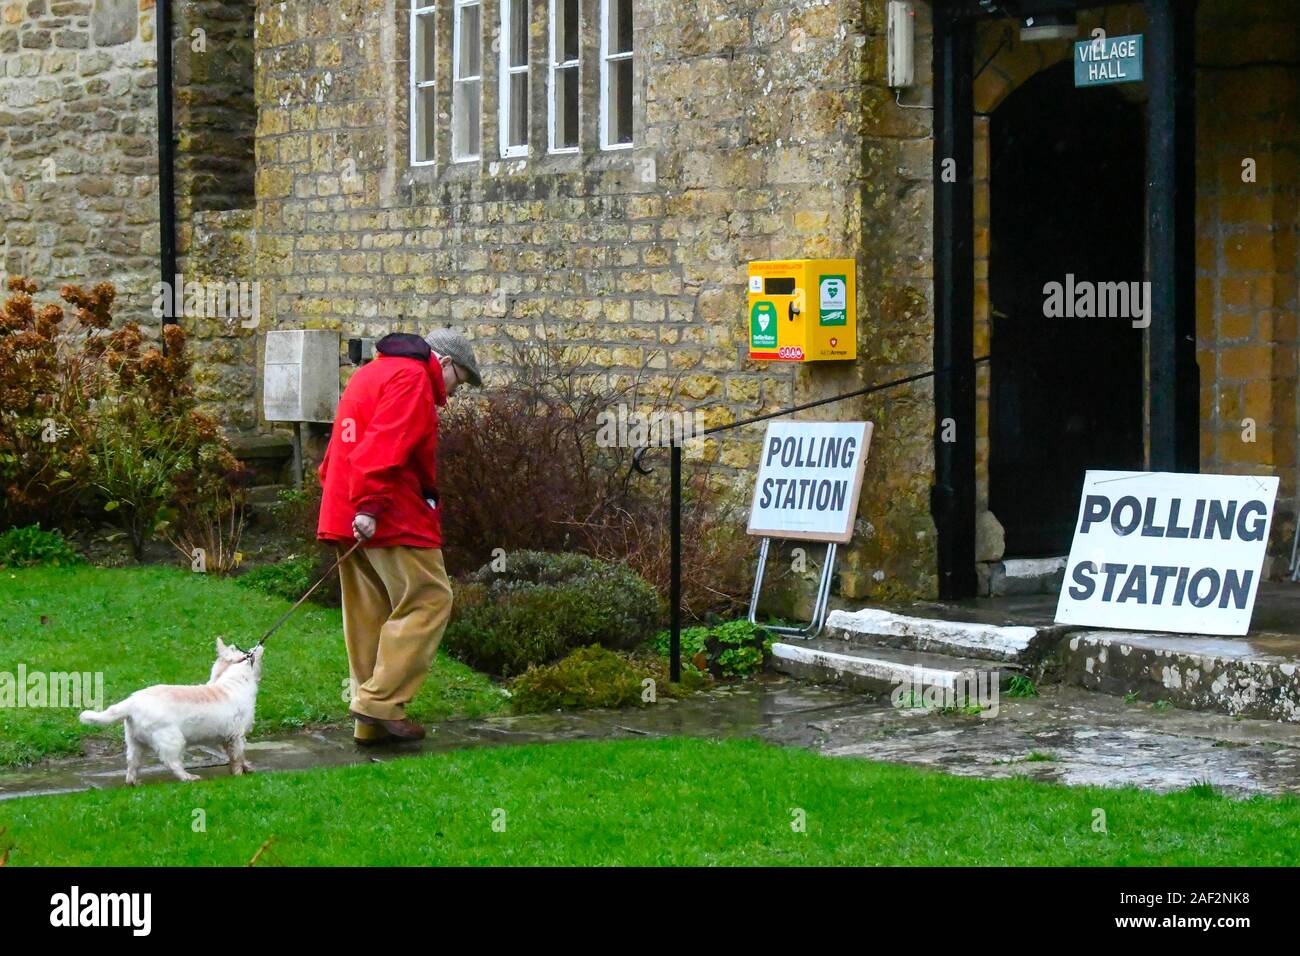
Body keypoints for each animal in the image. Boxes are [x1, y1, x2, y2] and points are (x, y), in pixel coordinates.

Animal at [79, 639, 263, 790]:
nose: (256, 648)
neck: (233, 681)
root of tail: (131, 702)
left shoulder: (226, 737)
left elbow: (235, 756)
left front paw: (246, 767)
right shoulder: (236, 735)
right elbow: (238, 755)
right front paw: (239, 774)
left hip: (135, 742)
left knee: (132, 764)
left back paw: (134, 782)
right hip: (172, 739)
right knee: (172, 762)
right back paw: (189, 777)